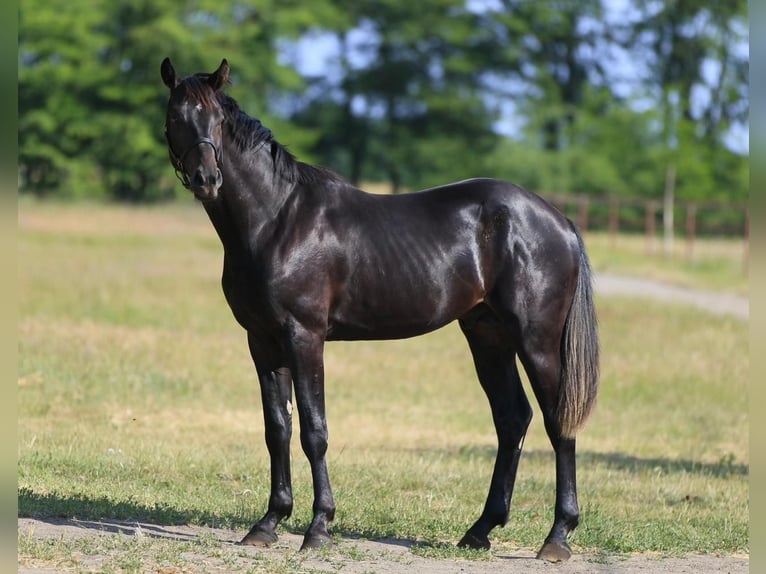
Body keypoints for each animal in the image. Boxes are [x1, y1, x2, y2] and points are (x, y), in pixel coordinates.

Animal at [161, 57, 599, 562]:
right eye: (176, 117)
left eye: (217, 120)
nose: (207, 180)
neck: (277, 220)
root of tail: (559, 221)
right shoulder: (263, 342)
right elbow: (278, 430)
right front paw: (268, 523)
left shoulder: (304, 336)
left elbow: (314, 430)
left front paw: (319, 527)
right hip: (488, 335)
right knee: (513, 420)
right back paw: (479, 530)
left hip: (536, 340)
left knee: (557, 422)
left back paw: (557, 536)